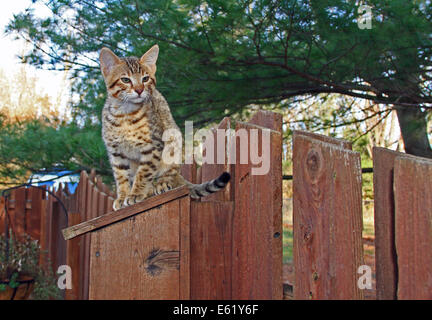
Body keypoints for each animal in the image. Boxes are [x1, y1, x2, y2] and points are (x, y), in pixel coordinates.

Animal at [100, 45, 231, 210]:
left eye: (145, 78)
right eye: (125, 79)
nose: (139, 90)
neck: (125, 114)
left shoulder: (152, 146)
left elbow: (144, 173)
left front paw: (135, 194)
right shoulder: (116, 153)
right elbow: (121, 177)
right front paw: (123, 196)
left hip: (174, 142)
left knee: (169, 173)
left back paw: (161, 184)